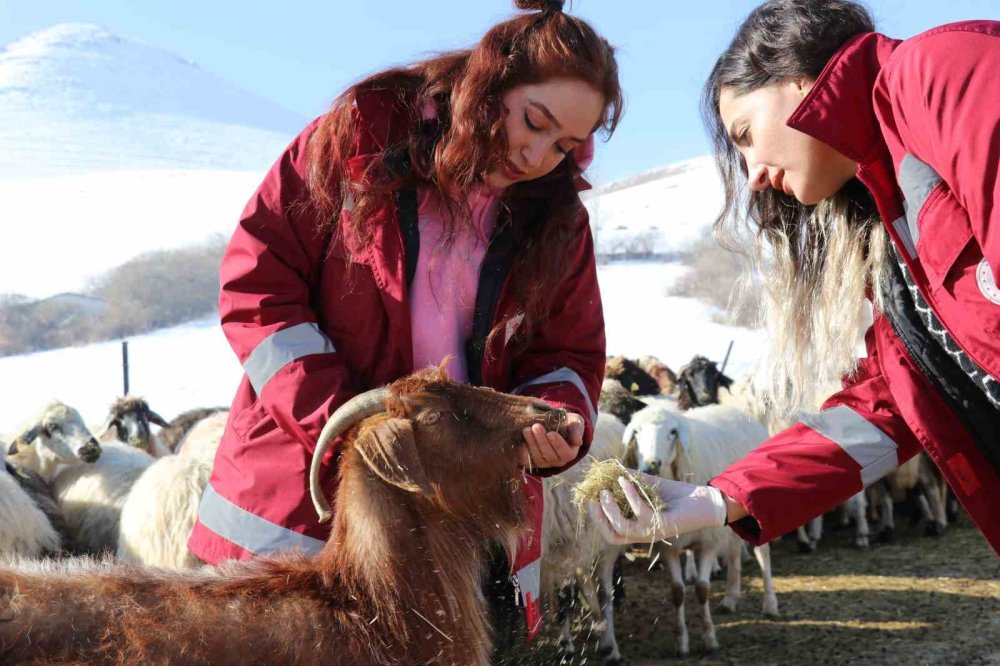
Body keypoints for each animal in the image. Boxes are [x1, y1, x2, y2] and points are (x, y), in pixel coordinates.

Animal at [624, 400, 780, 652]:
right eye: (636, 432)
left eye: (673, 432)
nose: (651, 464)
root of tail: (732, 409)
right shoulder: (668, 546)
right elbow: (677, 592)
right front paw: (681, 642)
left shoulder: (707, 541)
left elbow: (702, 589)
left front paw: (709, 638)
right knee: (734, 553)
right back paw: (730, 597)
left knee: (762, 554)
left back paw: (770, 604)